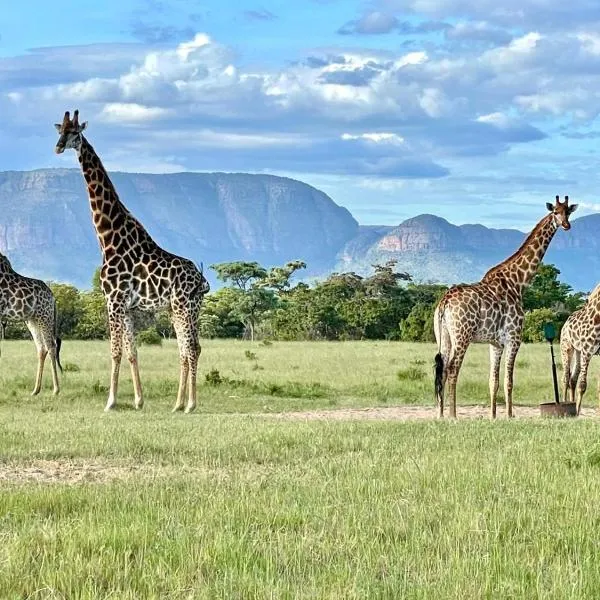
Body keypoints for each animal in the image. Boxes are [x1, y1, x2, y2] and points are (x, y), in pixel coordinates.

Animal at [0, 252, 62, 396]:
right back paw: (35, 390)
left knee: (51, 346)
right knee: (41, 347)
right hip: (32, 320)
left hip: (45, 316)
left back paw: (56, 390)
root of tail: (53, 297)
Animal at [54, 109, 209, 412]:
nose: (58, 147)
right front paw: (138, 400)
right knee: (185, 350)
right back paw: (177, 404)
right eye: (60, 131)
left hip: (184, 307)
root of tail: (202, 280)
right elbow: (131, 352)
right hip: (181, 309)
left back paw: (190, 404)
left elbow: (114, 352)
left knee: (192, 348)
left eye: (75, 132)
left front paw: (111, 401)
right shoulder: (126, 307)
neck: (108, 238)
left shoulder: (113, 301)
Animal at [434, 196, 580, 418]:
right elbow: (509, 381)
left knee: (441, 369)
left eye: (568, 212)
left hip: (443, 336)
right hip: (462, 335)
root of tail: (444, 302)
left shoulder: (495, 343)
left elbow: (493, 381)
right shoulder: (514, 337)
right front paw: (510, 415)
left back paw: (441, 414)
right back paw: (453, 415)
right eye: (555, 212)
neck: (518, 282)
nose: (566, 225)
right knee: (452, 369)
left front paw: (493, 416)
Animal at [556, 284, 600, 414]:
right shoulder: (587, 350)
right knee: (565, 378)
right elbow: (583, 385)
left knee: (572, 379)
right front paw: (577, 412)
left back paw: (572, 404)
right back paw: (566, 404)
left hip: (578, 351)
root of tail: (565, 324)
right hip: (566, 348)